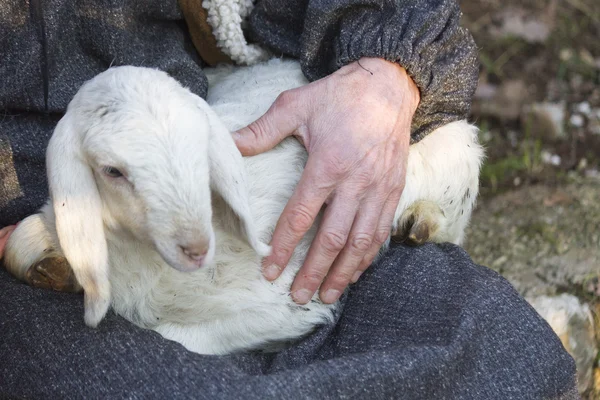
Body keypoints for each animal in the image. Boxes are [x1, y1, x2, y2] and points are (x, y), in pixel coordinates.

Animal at [2, 58, 486, 354]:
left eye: (201, 146)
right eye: (111, 171)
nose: (196, 246)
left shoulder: (286, 301)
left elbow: (177, 338)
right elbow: (25, 243)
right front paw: (48, 266)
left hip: (453, 154)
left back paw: (419, 222)